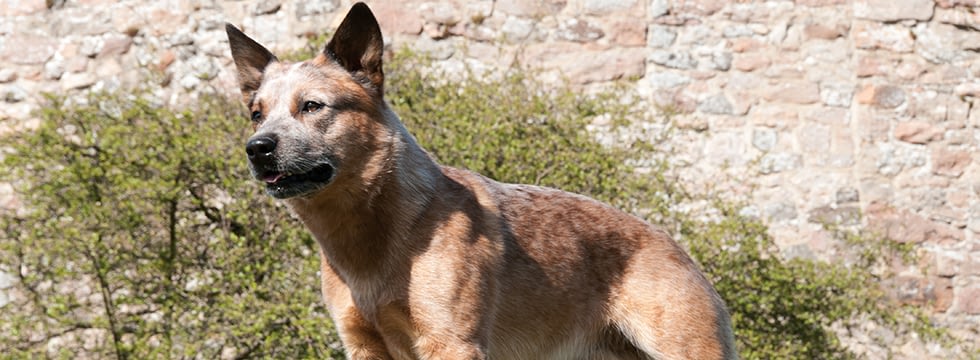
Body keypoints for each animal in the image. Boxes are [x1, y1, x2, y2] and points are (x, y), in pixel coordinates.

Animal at [228, 3, 736, 360]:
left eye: (312, 106)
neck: (374, 239)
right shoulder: (363, 345)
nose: (257, 148)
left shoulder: (452, 342)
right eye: (256, 113)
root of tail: (676, 247)